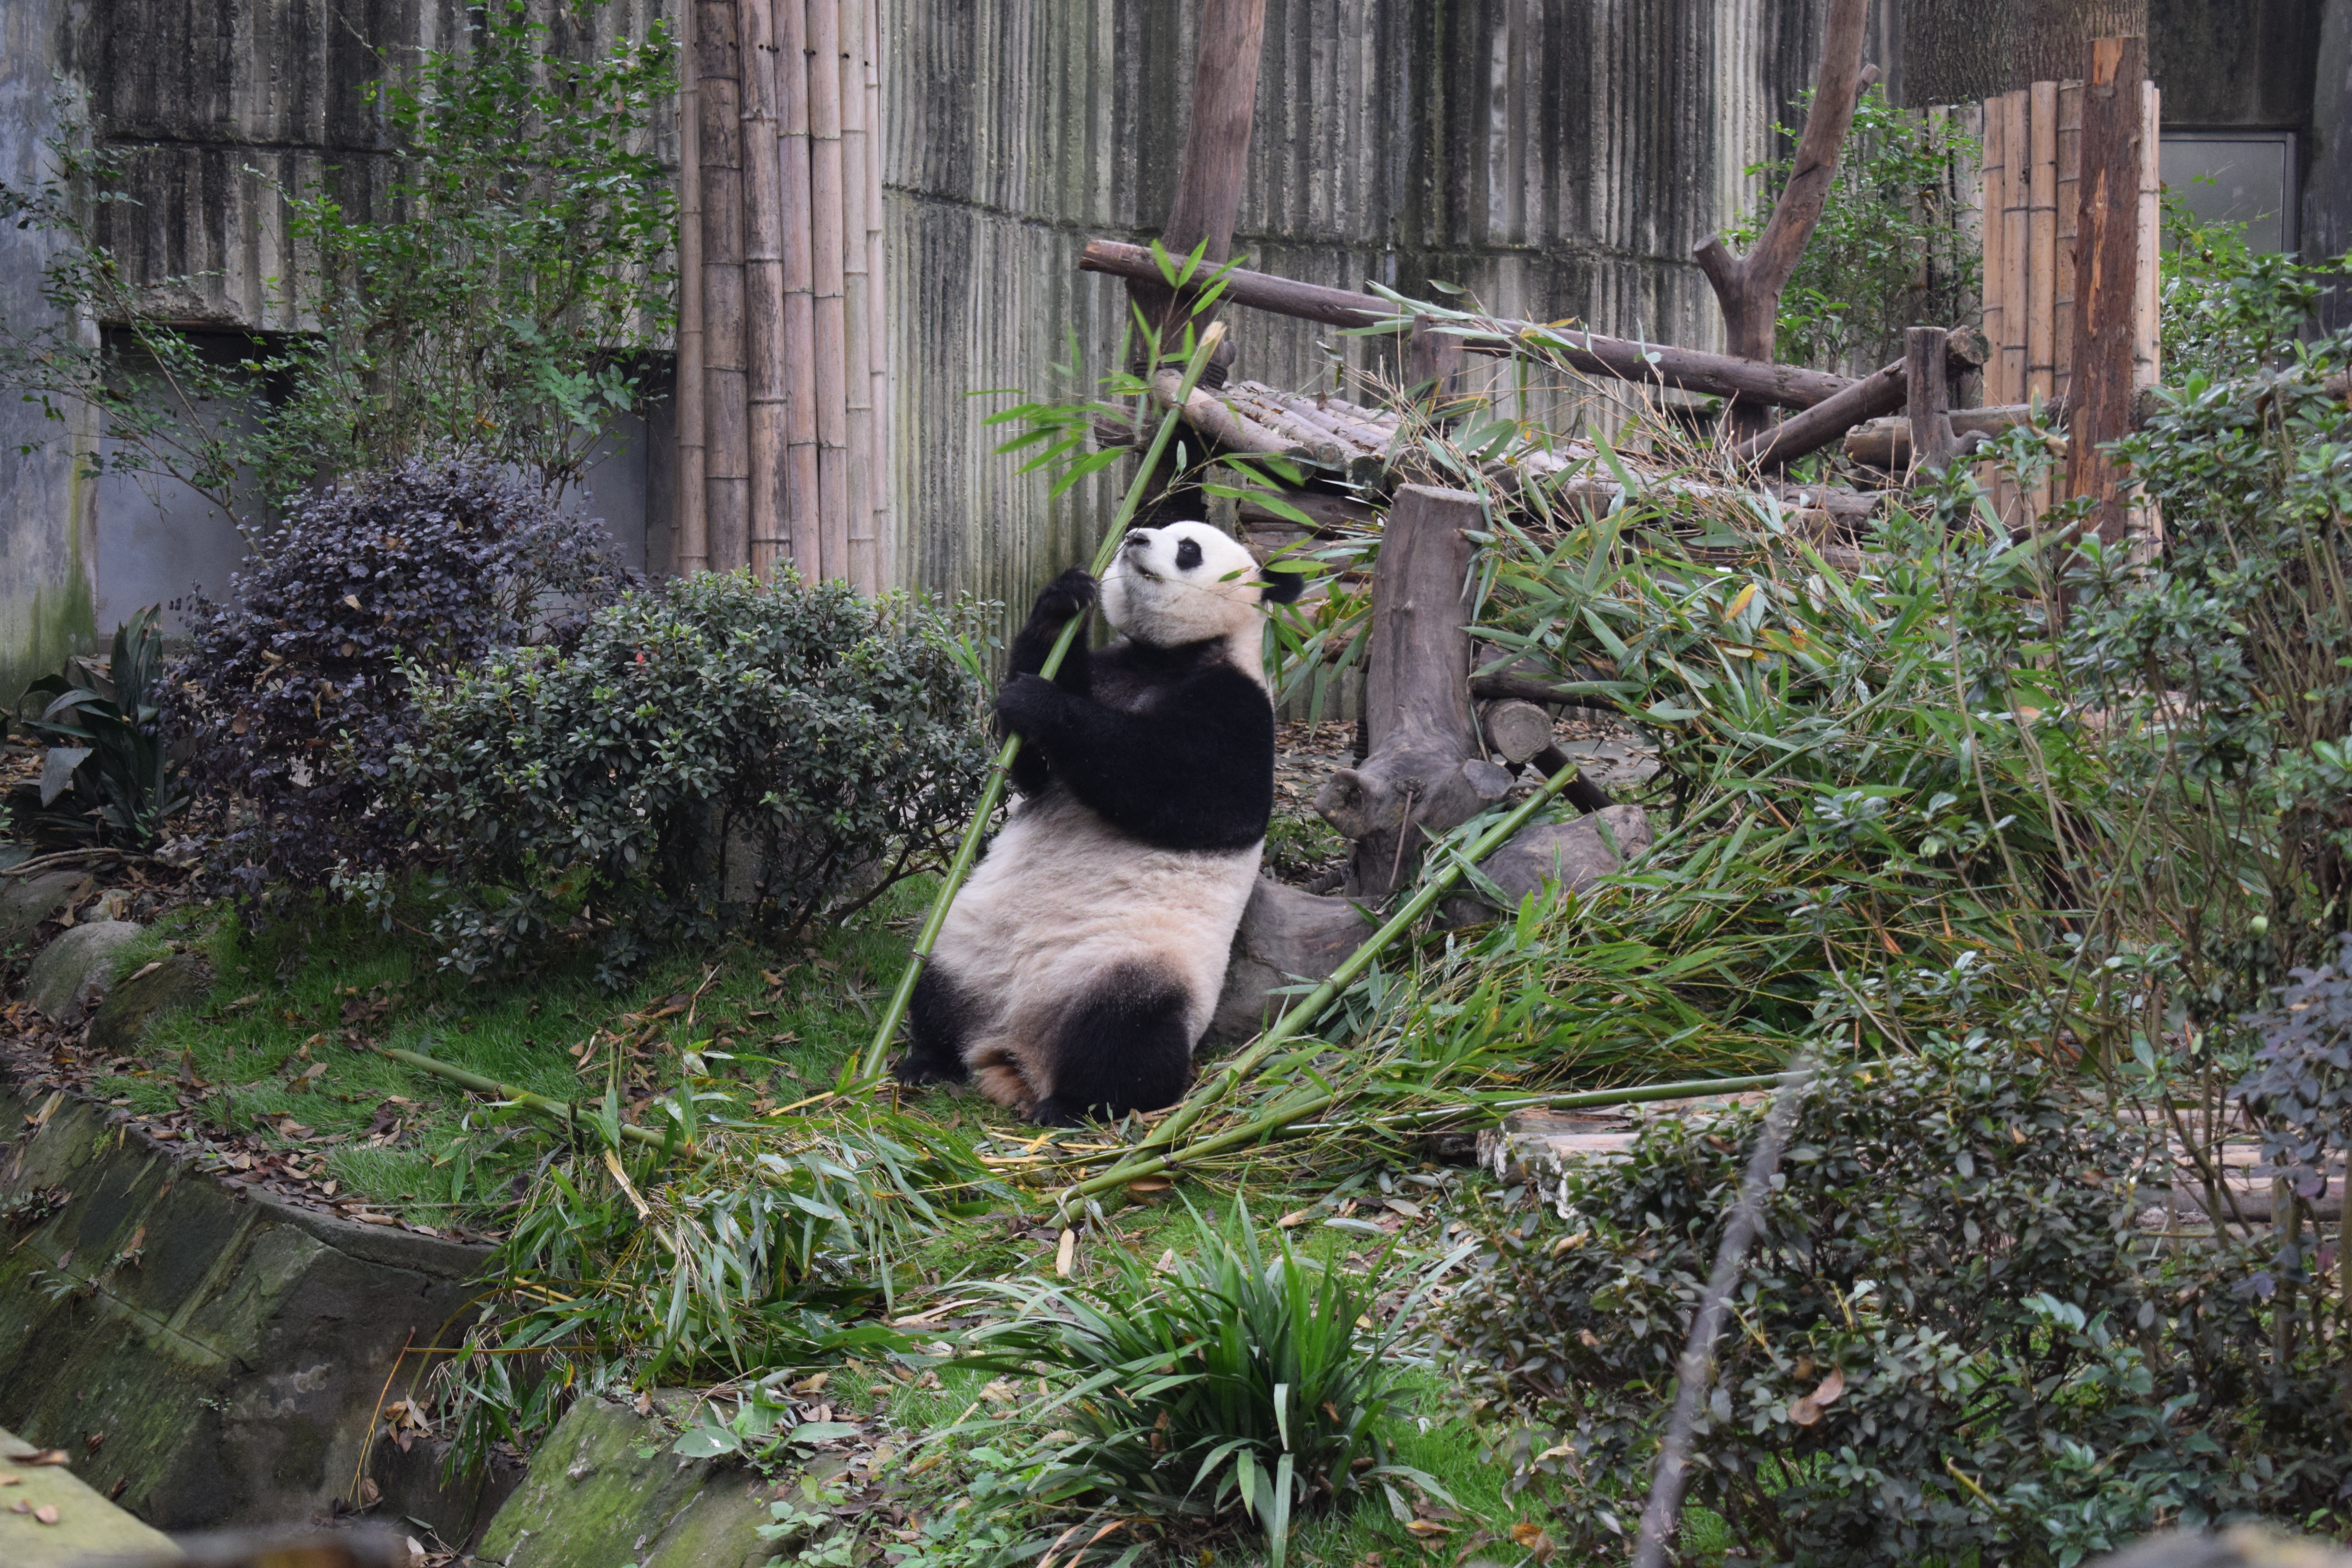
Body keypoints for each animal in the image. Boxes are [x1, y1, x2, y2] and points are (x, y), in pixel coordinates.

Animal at [894, 520, 1304, 1124]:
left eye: (1188, 550)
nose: (1134, 537)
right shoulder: (1111, 669)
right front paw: (1063, 601)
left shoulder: (1240, 707)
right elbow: (1032, 771)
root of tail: (1015, 1048)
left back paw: (1070, 1105)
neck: (1165, 659)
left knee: (1128, 1037)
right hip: (969, 942)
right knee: (937, 989)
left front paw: (1040, 703)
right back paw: (927, 1061)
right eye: (1161, 529)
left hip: (1132, 963)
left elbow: (1196, 795)